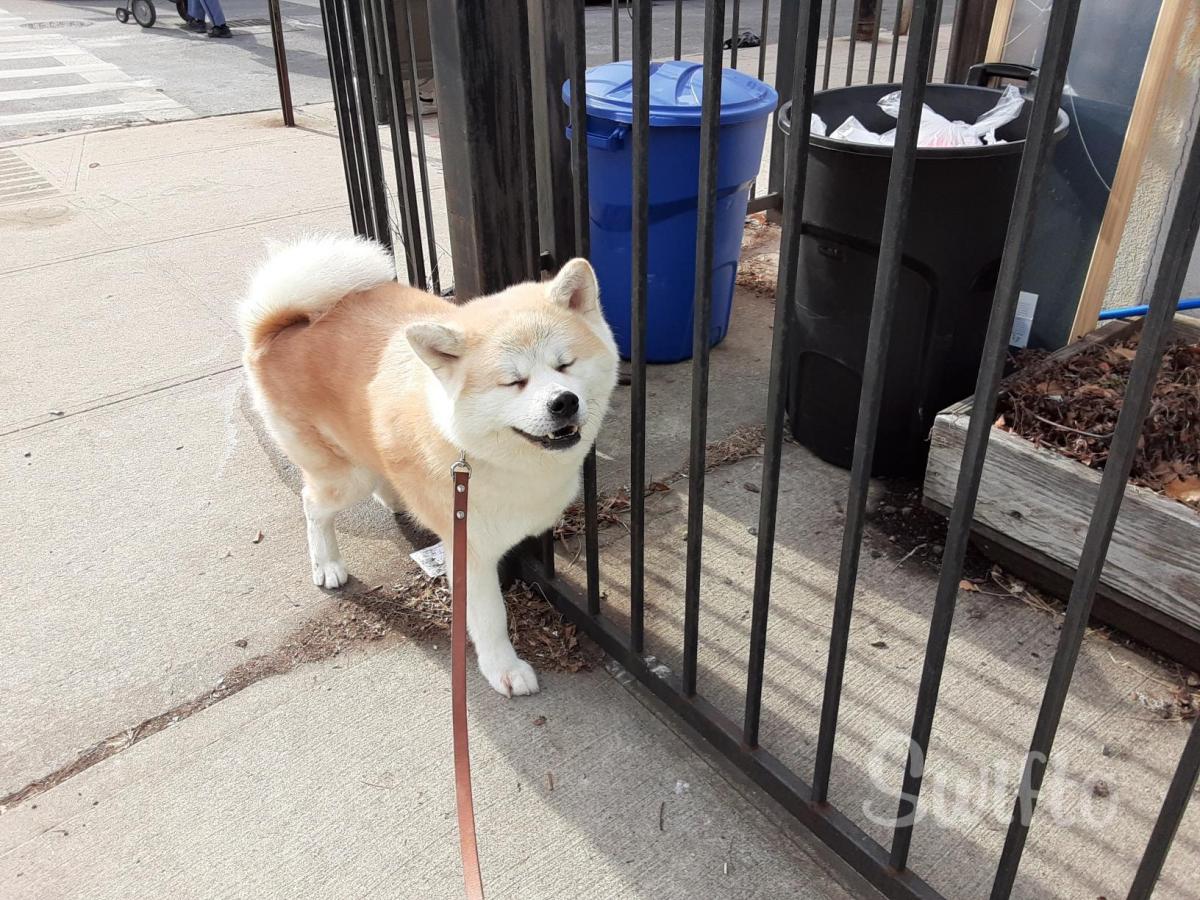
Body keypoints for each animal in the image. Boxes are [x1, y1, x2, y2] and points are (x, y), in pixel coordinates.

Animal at [242, 234, 619, 696]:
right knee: (313, 504)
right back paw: (327, 563)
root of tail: (280, 326)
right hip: (345, 477)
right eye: (513, 382)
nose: (563, 401)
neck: (481, 453)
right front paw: (503, 668)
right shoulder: (469, 551)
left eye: (565, 364)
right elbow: (490, 618)